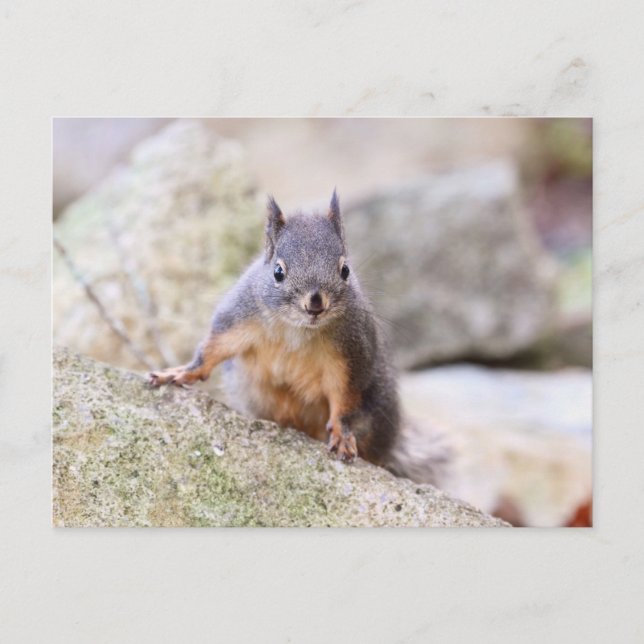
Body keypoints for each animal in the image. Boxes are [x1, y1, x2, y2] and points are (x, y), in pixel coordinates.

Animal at [148, 190, 401, 466]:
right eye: (278, 271)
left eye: (345, 270)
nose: (315, 304)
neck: (297, 329)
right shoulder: (239, 318)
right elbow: (213, 349)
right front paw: (179, 373)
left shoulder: (351, 354)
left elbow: (344, 399)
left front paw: (342, 435)